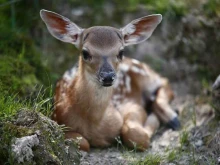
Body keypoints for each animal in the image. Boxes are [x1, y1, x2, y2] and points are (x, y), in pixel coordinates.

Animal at [40, 8, 180, 151]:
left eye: (121, 52)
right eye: (85, 53)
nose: (107, 76)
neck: (94, 124)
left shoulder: (129, 103)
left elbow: (134, 135)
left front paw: (153, 119)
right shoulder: (57, 117)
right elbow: (83, 142)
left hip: (144, 73)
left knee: (164, 82)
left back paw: (172, 118)